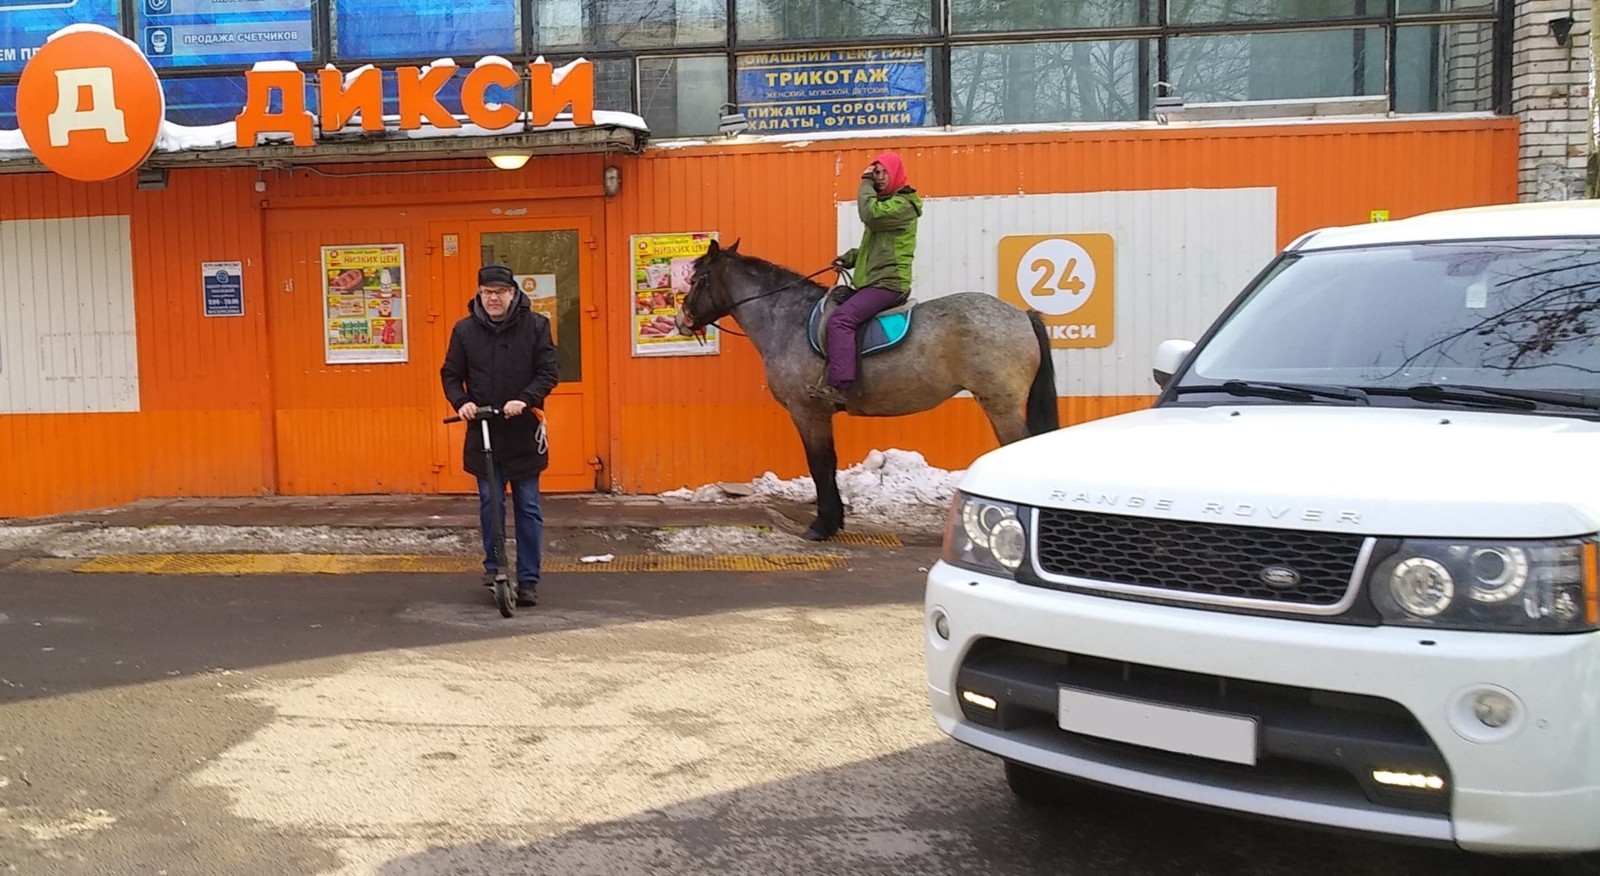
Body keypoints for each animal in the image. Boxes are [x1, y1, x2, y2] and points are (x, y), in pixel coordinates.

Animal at [678, 239, 1062, 540]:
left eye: (697, 279)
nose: (682, 320)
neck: (788, 319)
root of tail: (1022, 315)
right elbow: (828, 464)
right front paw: (833, 521)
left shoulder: (808, 412)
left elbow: (820, 464)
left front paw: (822, 525)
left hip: (1001, 405)